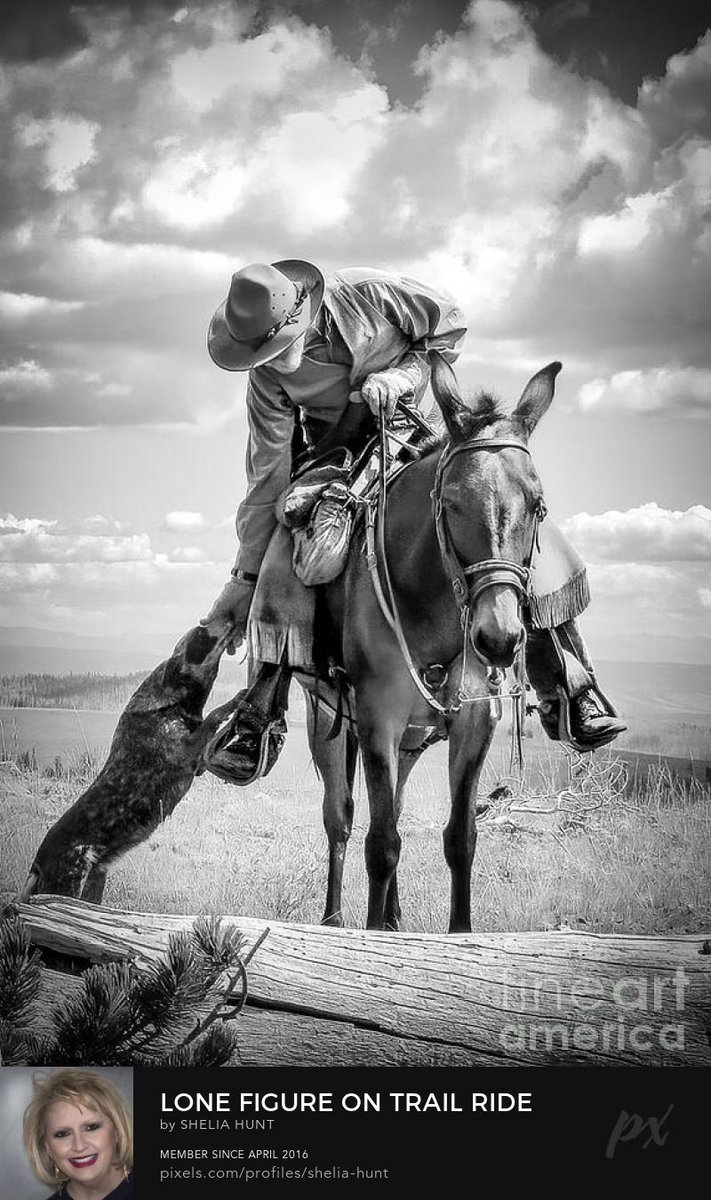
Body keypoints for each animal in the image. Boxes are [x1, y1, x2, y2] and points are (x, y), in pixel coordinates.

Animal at [15, 619, 239, 902]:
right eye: (202, 632)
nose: (231, 620)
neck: (171, 703)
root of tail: (38, 864)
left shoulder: (197, 763)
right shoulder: (185, 752)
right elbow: (215, 715)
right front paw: (239, 698)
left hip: (96, 880)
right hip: (68, 886)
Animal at [302, 355, 557, 936]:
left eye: (537, 505)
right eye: (454, 502)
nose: (499, 638)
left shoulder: (475, 721)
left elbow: (460, 838)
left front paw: (456, 937)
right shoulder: (377, 718)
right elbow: (380, 843)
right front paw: (370, 937)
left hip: (412, 740)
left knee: (391, 804)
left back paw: (395, 918)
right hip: (326, 715)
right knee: (340, 818)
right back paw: (334, 919)